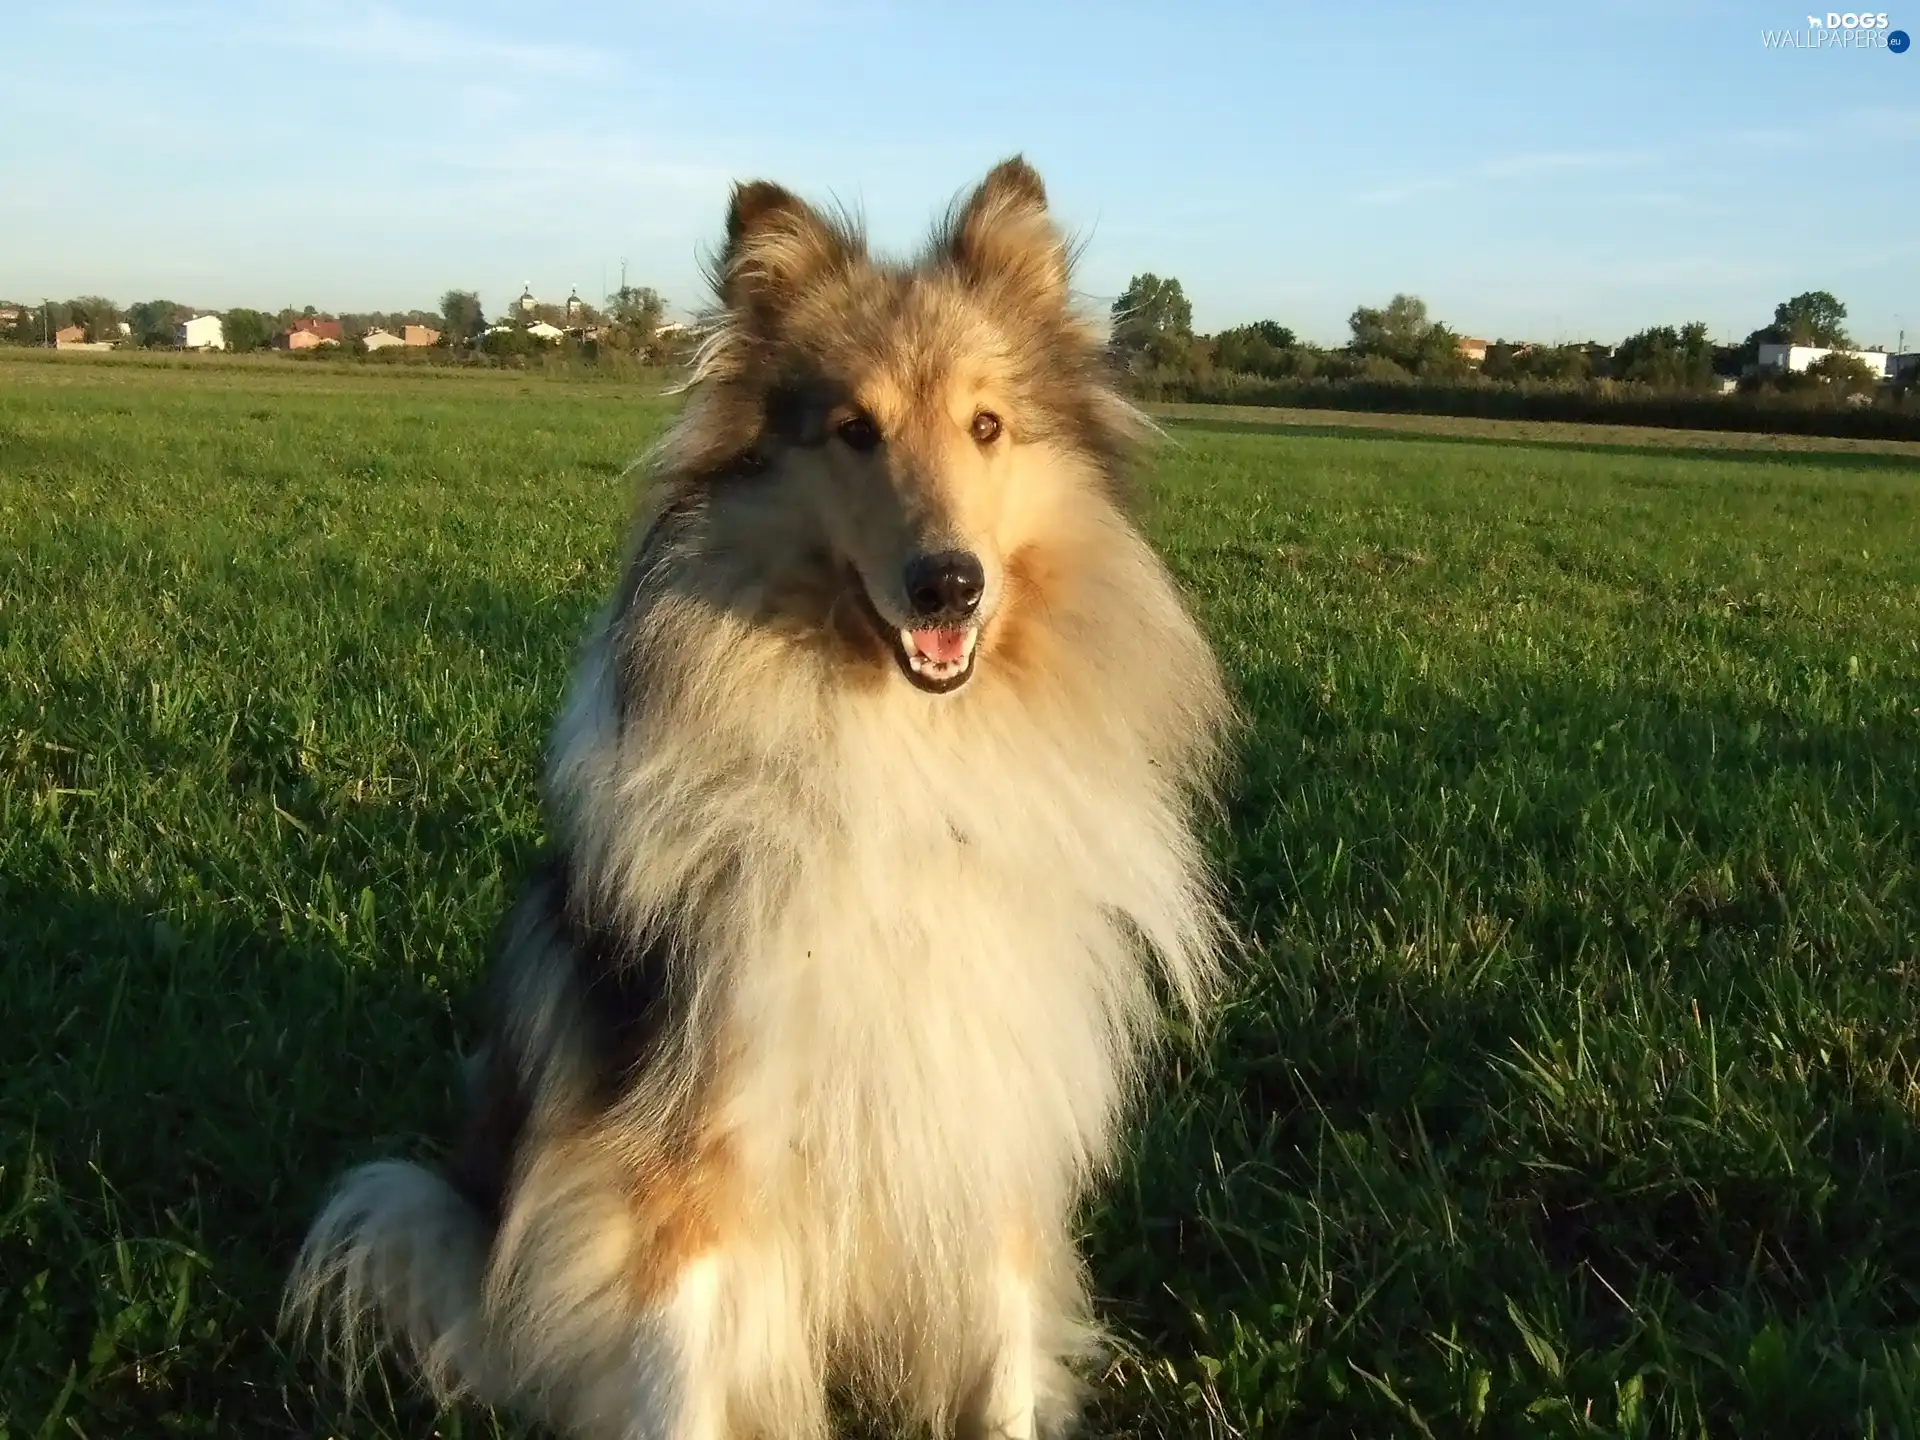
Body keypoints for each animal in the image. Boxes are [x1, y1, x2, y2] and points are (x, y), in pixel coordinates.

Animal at [291, 157, 1236, 1440]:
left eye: (989, 426)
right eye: (853, 430)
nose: (949, 583)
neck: (908, 753)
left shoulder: (990, 1110)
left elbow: (1000, 1348)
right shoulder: (691, 1152)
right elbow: (676, 1368)